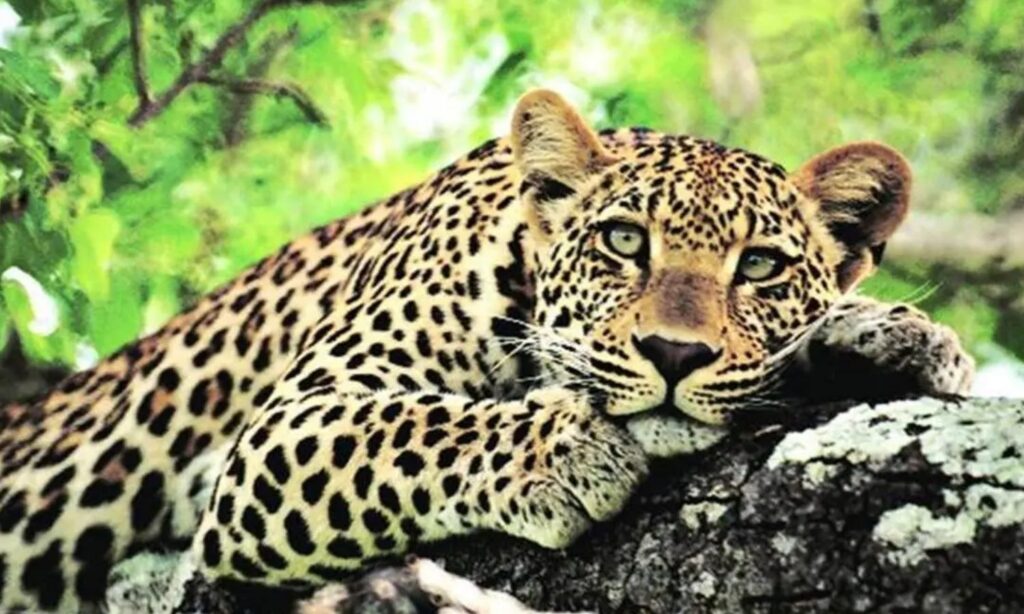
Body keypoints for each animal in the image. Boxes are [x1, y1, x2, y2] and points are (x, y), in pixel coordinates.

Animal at [0, 89, 973, 612]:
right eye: (624, 242)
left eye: (761, 266)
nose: (673, 354)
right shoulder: (289, 424)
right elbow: (408, 428)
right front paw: (564, 451)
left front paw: (894, 335)